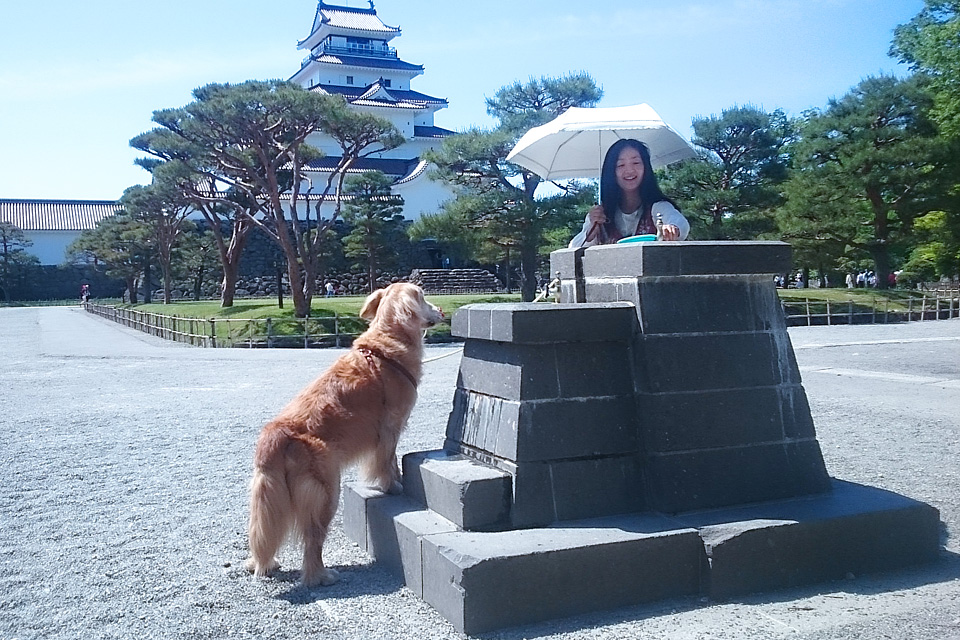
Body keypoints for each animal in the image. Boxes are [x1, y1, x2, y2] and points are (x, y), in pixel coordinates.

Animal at [246, 282, 443, 586]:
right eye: (422, 297)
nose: (442, 310)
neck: (386, 341)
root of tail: (276, 434)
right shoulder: (390, 425)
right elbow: (387, 461)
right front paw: (392, 486)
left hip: (268, 499)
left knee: (264, 535)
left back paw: (264, 564)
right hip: (326, 491)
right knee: (312, 540)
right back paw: (321, 575)